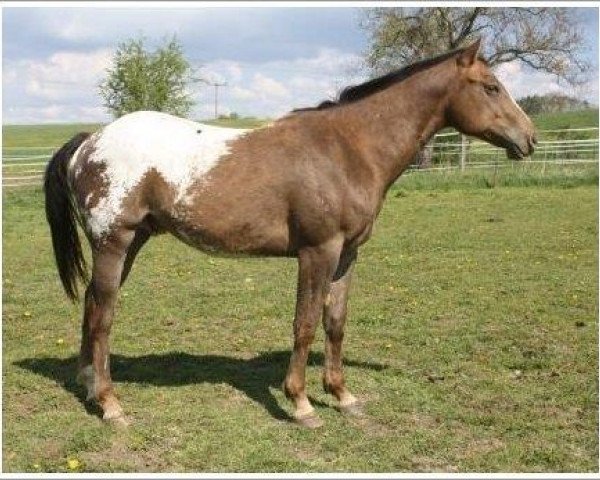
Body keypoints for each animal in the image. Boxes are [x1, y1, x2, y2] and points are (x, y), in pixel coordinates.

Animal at [44, 40, 536, 428]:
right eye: (491, 87)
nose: (529, 138)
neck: (347, 149)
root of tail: (90, 141)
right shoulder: (318, 252)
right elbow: (305, 323)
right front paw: (301, 403)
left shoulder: (347, 255)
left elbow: (335, 323)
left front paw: (343, 396)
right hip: (115, 242)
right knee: (104, 316)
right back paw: (111, 405)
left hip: (131, 243)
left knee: (91, 305)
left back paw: (89, 388)